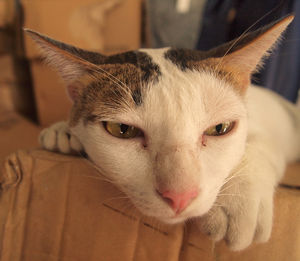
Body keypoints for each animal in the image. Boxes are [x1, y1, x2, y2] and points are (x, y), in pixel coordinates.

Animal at [25, 14, 300, 250]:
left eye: (219, 128)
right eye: (122, 130)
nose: (180, 196)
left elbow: (261, 144)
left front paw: (239, 201)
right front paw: (62, 131)